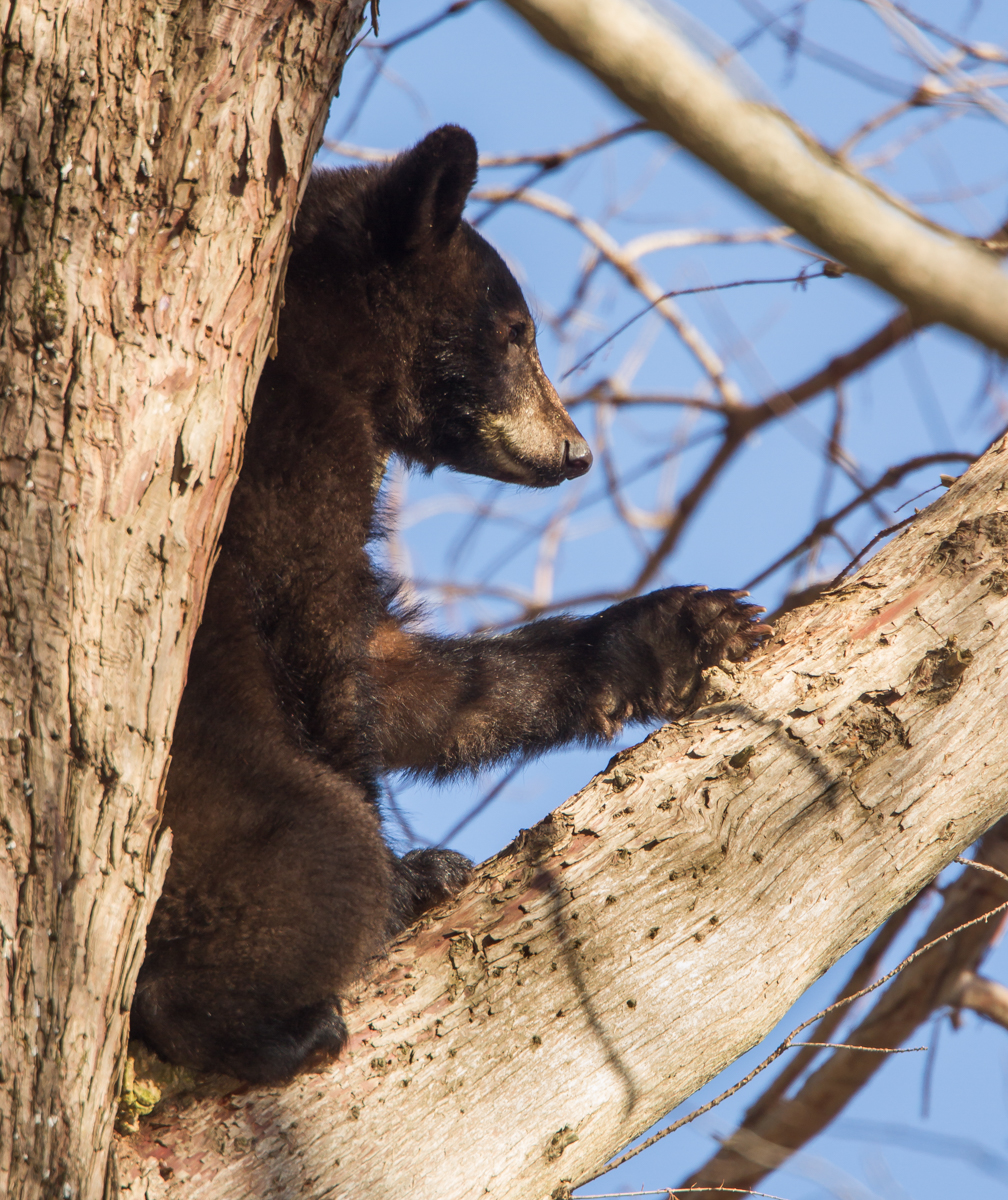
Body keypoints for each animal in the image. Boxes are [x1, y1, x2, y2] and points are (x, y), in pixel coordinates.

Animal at [130, 125, 769, 1084]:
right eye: (518, 334)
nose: (577, 453)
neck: (331, 350)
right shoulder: (288, 458)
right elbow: (319, 644)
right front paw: (413, 876)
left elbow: (413, 680)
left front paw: (681, 631)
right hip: (209, 808)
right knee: (316, 854)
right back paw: (275, 1017)